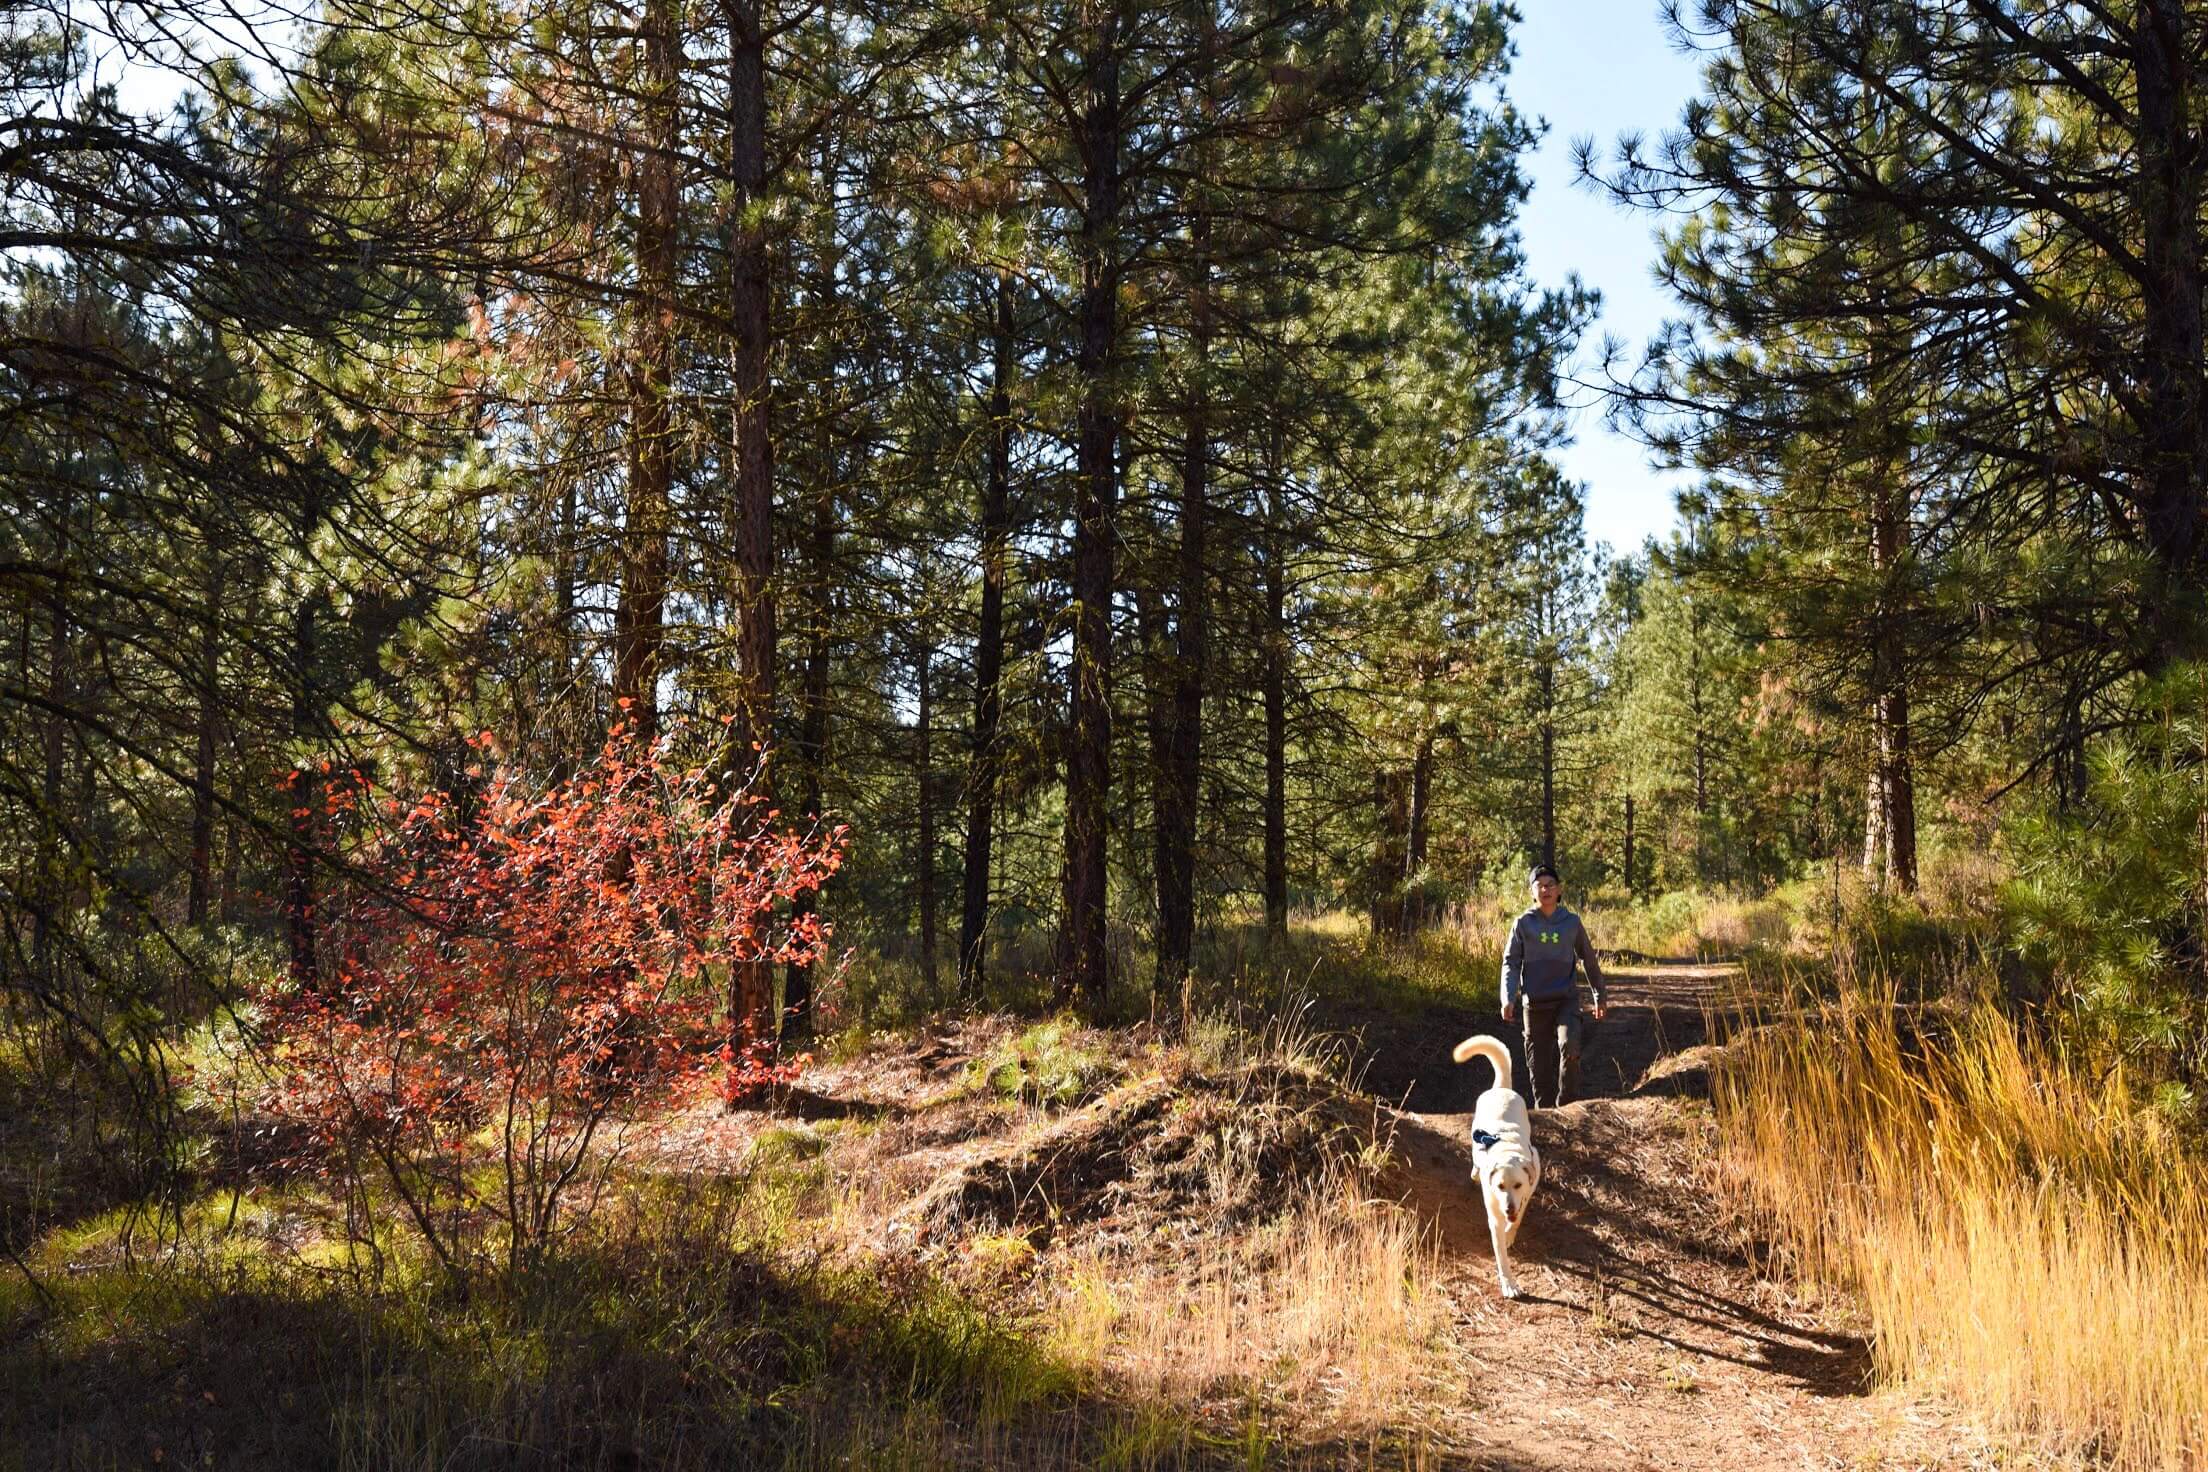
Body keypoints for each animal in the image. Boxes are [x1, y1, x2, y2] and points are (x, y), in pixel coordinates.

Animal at [1448, 1037, 1536, 1297]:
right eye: (1499, 1186)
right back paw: (1475, 1172)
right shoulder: (1494, 1214)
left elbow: (1517, 1219)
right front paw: (1509, 1283)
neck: (1506, 1150)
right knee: (1475, 1160)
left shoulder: (1529, 1188)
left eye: (1518, 1185)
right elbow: (1501, 1255)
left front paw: (1510, 1234)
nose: (1508, 1208)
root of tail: (1501, 1089)